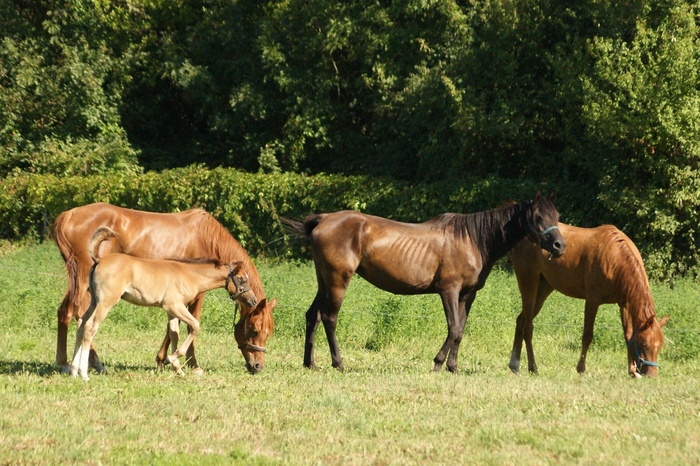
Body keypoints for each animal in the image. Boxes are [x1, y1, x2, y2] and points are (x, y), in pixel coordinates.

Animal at [54, 202, 276, 375]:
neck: (206, 237)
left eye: (268, 333)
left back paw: (67, 364)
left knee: (66, 313)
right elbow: (190, 326)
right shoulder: (193, 297)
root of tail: (68, 215)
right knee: (82, 318)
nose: (258, 366)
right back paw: (88, 365)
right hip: (85, 283)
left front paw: (166, 361)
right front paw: (189, 364)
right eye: (254, 330)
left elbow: (173, 330)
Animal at [284, 192, 566, 372]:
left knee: (312, 316)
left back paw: (310, 363)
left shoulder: (467, 295)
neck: (472, 239)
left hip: (324, 280)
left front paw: (452, 366)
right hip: (338, 281)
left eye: (557, 216)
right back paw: (338, 363)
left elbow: (460, 330)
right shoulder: (448, 290)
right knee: (329, 318)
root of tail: (323, 219)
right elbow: (453, 328)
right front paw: (438, 363)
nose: (560, 246)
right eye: (538, 218)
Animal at [508, 222, 669, 377]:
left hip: (543, 288)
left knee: (521, 320)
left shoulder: (624, 304)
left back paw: (514, 365)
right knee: (528, 326)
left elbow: (628, 336)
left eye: (659, 346)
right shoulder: (592, 301)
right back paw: (532, 368)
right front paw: (581, 369)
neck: (615, 258)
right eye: (644, 345)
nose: (652, 375)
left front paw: (632, 371)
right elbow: (587, 335)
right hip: (529, 283)